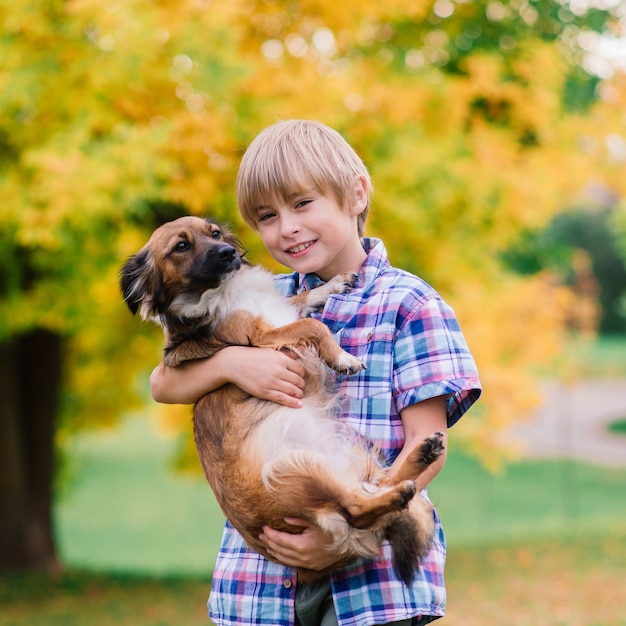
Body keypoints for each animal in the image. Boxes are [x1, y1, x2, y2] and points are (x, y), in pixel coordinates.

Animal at [119, 216, 442, 584]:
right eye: (181, 246)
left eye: (214, 233)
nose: (229, 252)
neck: (225, 291)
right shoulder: (263, 336)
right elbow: (314, 328)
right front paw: (342, 357)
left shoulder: (282, 310)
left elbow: (301, 298)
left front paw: (333, 284)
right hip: (294, 467)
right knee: (357, 507)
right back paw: (400, 488)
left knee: (379, 483)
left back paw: (423, 454)